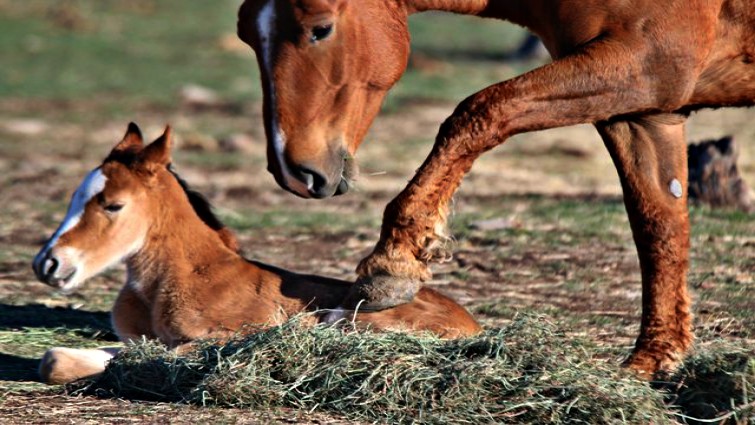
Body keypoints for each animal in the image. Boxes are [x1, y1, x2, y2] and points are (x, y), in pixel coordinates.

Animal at [31, 123, 481, 385]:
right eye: (73, 197)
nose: (48, 263)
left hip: (348, 320)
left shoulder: (228, 336)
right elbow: (60, 359)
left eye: (113, 205)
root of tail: (474, 326)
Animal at [236, 0, 755, 376]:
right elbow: (658, 225)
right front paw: (652, 363)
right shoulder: (643, 110)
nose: (292, 169)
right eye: (244, 31)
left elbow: (480, 110)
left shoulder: (646, 64)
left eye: (320, 28)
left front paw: (390, 265)